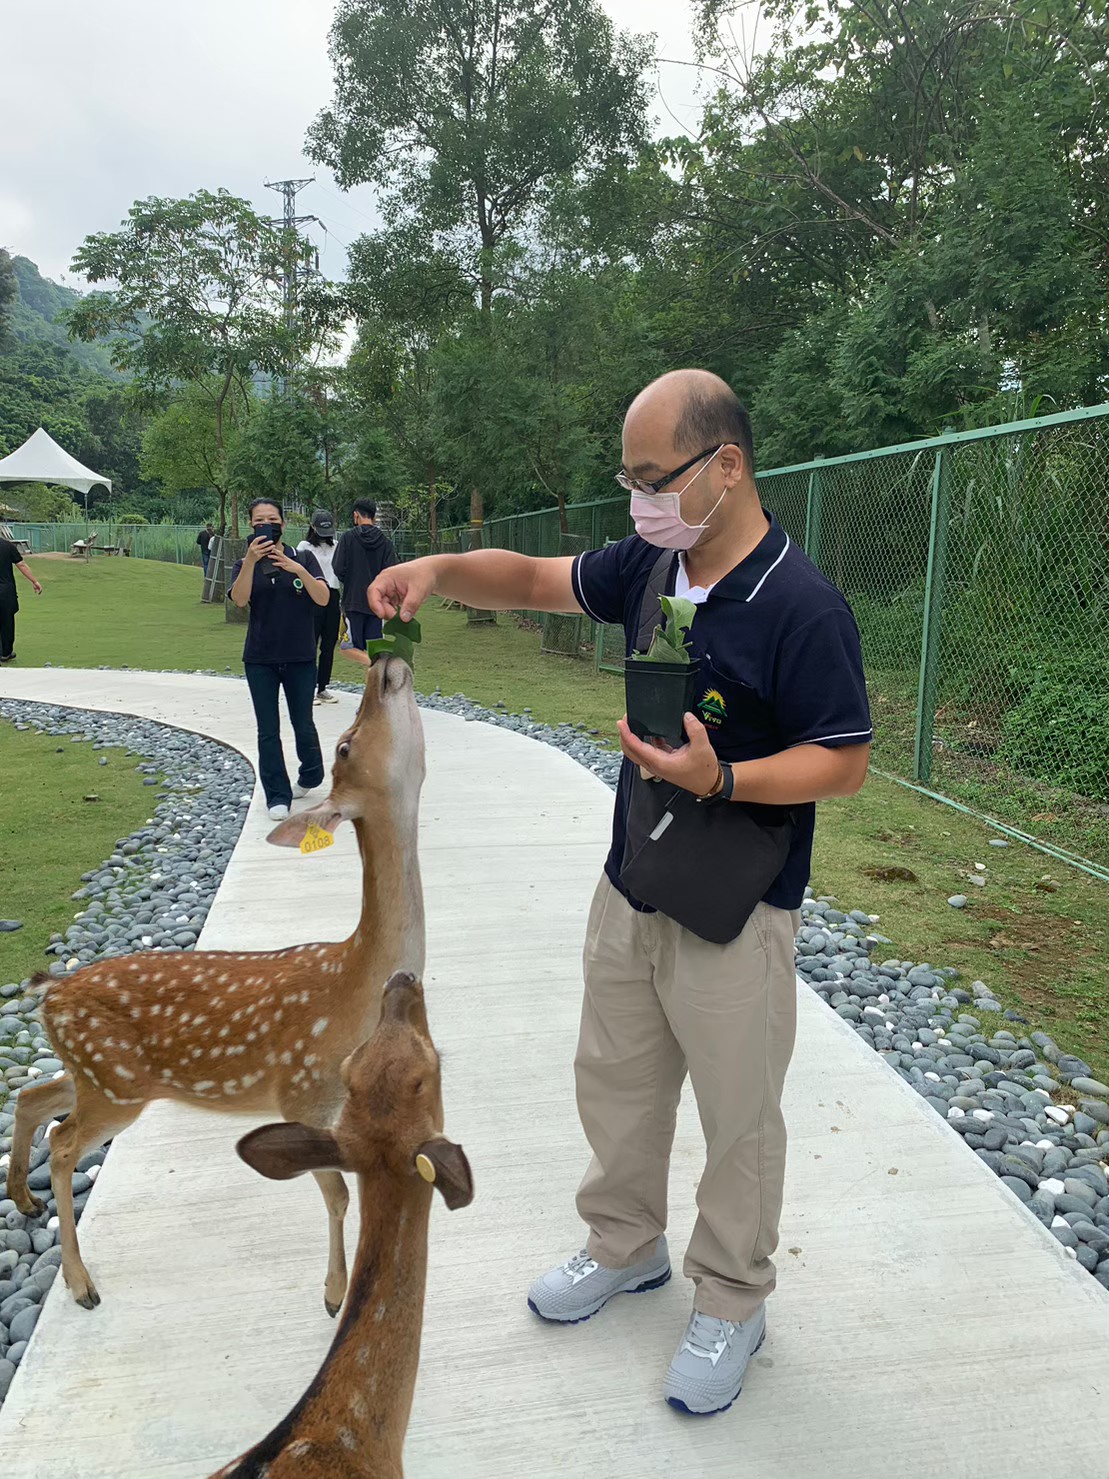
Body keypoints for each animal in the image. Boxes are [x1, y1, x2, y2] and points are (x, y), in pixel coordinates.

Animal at [7, 654, 426, 1315]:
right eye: (344, 743)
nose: (385, 662)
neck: (353, 991)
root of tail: (50, 992)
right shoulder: (300, 1092)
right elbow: (337, 1194)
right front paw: (335, 1295)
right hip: (115, 1087)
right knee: (66, 1142)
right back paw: (80, 1283)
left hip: (102, 1075)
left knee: (34, 1097)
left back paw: (25, 1200)